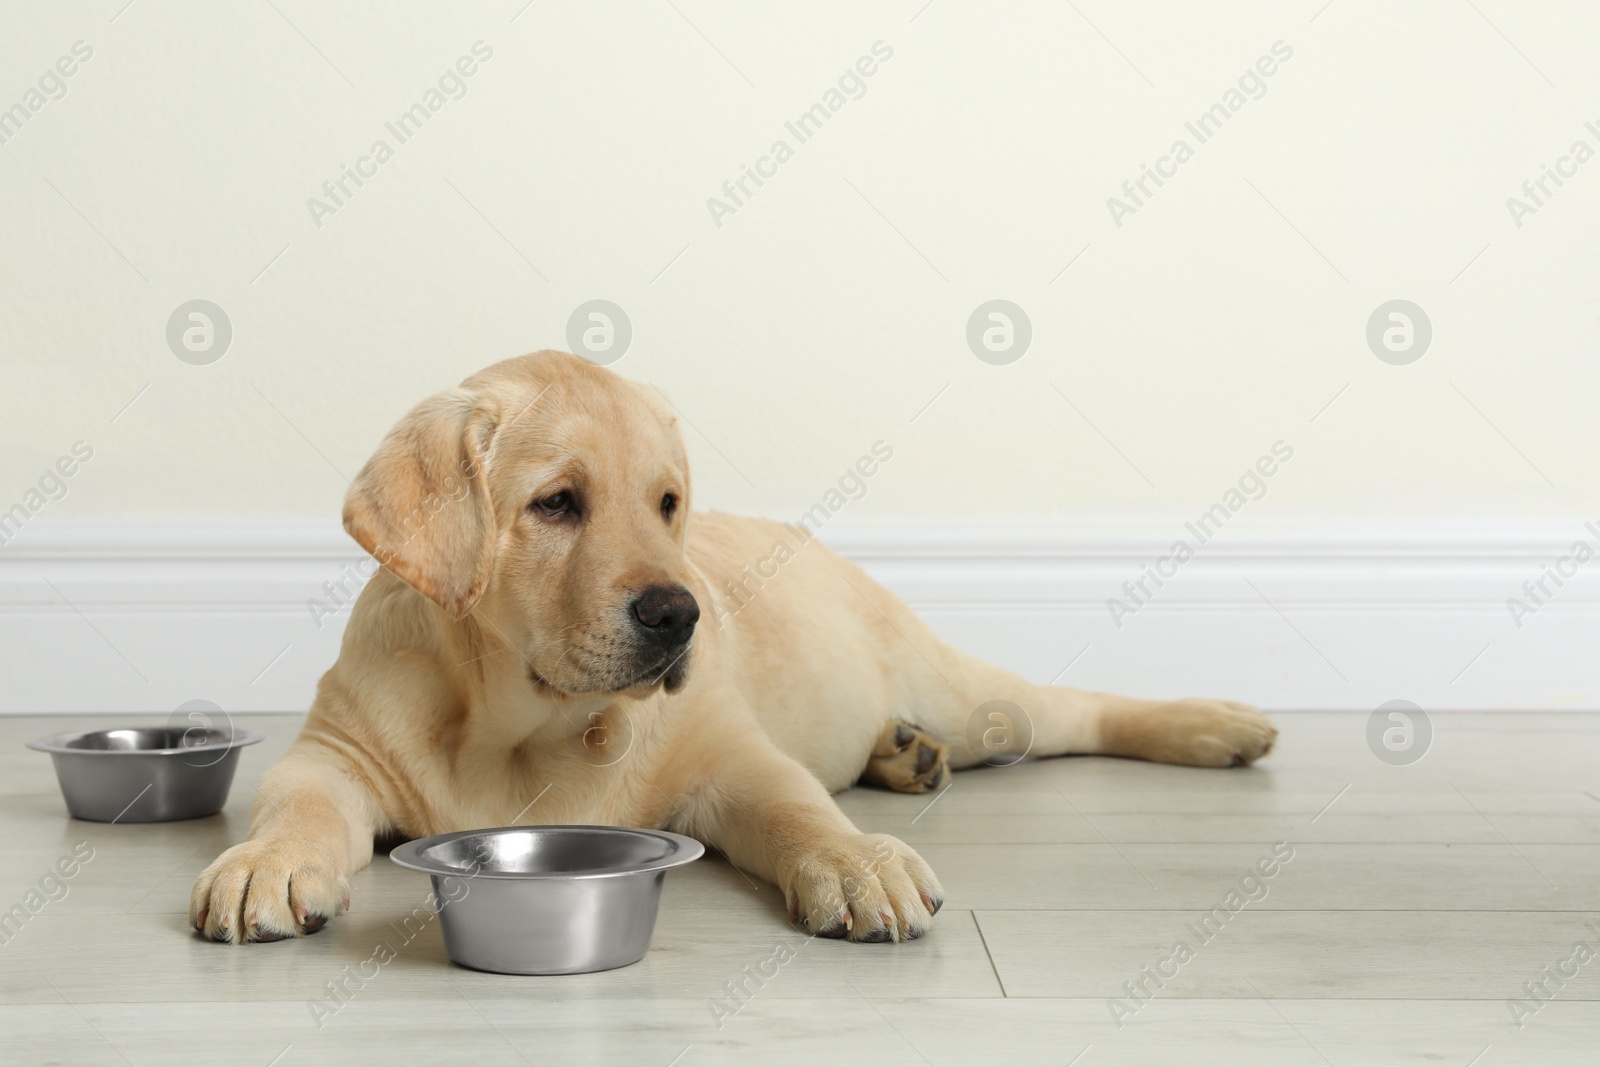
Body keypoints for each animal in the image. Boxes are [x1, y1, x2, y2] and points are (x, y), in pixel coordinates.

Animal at [187, 355, 1273, 947]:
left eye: (668, 503)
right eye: (556, 503)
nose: (680, 614)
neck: (518, 721)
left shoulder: (731, 757)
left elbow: (801, 809)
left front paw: (859, 861)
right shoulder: (335, 752)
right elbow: (295, 805)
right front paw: (262, 863)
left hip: (968, 694)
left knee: (1065, 707)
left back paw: (1213, 723)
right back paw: (902, 754)